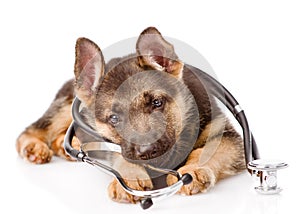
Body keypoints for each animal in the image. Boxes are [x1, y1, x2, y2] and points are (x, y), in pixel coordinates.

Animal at [16, 27, 245, 204]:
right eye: (114, 119)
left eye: (157, 103)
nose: (148, 151)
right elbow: (119, 154)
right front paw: (131, 176)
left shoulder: (227, 136)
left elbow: (206, 152)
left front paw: (194, 169)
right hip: (65, 107)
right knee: (31, 130)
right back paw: (34, 147)